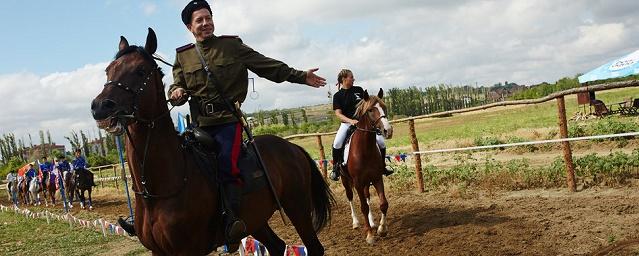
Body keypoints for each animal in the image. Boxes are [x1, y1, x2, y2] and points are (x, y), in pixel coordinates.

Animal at [92, 27, 338, 255]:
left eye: (140, 70)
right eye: (108, 70)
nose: (100, 106)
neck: (160, 190)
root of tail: (291, 147)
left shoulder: (188, 251)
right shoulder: (158, 251)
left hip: (297, 207)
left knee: (314, 247)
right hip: (256, 220)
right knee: (276, 246)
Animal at [342, 89, 392, 245]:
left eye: (384, 107)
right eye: (370, 110)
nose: (388, 130)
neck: (365, 149)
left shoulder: (377, 178)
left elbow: (383, 204)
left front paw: (382, 229)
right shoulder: (357, 182)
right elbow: (363, 207)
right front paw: (369, 235)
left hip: (366, 182)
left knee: (367, 197)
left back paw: (372, 222)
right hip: (346, 181)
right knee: (350, 197)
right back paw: (356, 223)